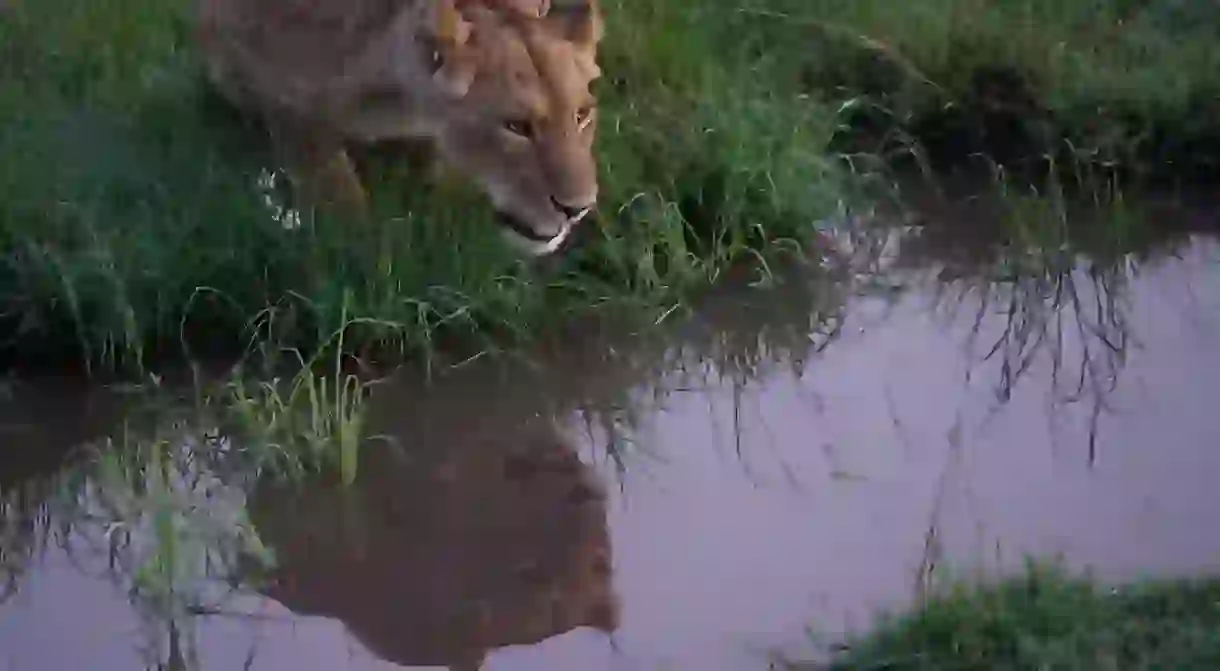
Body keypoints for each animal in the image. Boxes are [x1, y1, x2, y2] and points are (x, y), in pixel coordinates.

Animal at [193, 0, 605, 254]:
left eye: (582, 115)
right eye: (516, 126)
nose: (578, 209)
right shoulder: (285, 96)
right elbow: (340, 201)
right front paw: (360, 254)